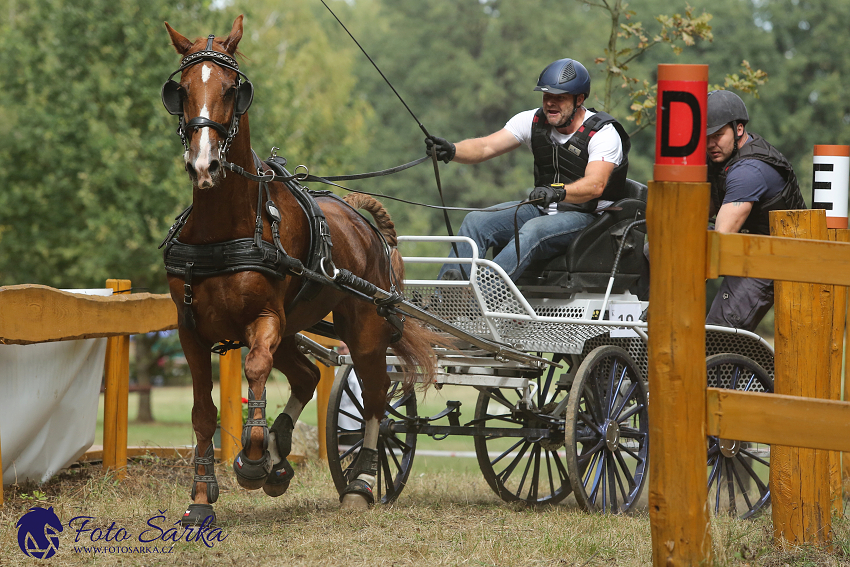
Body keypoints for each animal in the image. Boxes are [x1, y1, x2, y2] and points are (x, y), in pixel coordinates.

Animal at [161, 15, 438, 524]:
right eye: (181, 90)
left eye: (231, 89)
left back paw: (360, 481)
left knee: (375, 398)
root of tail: (366, 227)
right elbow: (202, 411)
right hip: (297, 327)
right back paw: (281, 455)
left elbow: (254, 369)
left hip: (364, 330)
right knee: (308, 377)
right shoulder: (190, 330)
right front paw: (202, 496)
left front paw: (253, 459)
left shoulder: (266, 320)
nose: (205, 164)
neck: (224, 227)